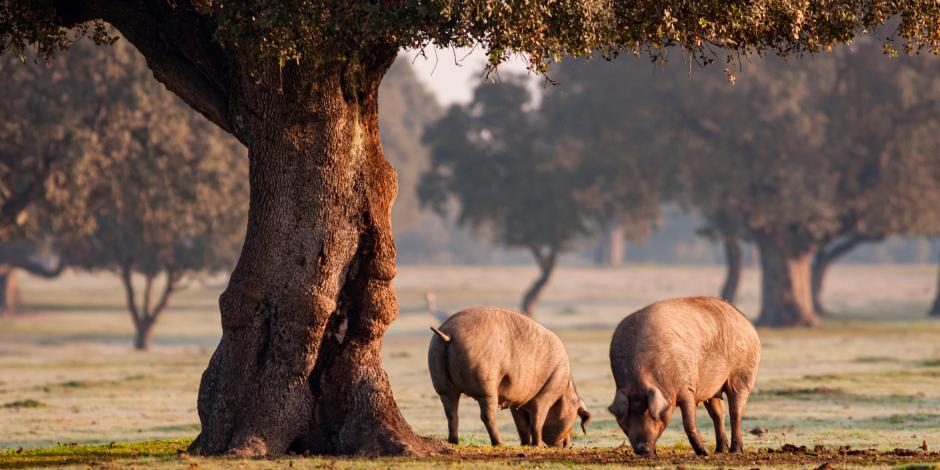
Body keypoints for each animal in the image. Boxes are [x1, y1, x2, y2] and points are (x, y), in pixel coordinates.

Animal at [426, 306, 588, 446]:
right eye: (574, 414)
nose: (567, 444)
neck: (564, 390)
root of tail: (448, 334)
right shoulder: (547, 393)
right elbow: (537, 421)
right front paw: (536, 446)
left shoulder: (516, 402)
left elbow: (521, 425)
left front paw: (525, 445)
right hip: (485, 385)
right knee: (487, 415)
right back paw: (499, 443)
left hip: (441, 381)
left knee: (451, 413)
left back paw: (454, 442)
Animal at [604, 298, 760, 456]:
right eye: (627, 415)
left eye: (651, 412)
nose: (642, 449)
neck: (641, 375)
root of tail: (744, 319)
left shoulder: (687, 387)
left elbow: (688, 422)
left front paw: (704, 452)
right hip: (712, 388)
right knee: (717, 414)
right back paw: (719, 451)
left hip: (743, 374)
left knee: (736, 411)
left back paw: (735, 451)